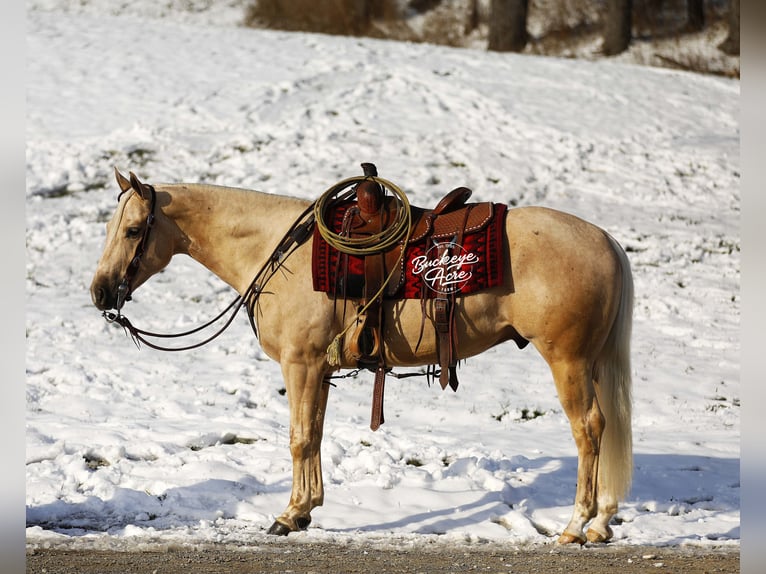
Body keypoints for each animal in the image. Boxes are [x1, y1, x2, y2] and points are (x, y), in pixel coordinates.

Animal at [90, 168, 633, 545]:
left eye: (134, 230)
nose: (99, 292)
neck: (281, 252)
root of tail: (605, 240)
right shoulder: (319, 368)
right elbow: (314, 436)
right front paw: (306, 509)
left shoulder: (301, 364)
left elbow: (299, 439)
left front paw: (288, 515)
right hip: (591, 362)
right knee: (605, 428)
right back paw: (602, 524)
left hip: (567, 361)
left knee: (588, 428)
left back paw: (576, 525)